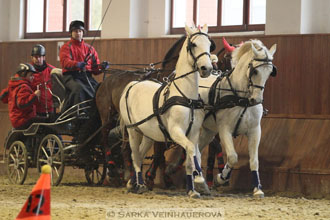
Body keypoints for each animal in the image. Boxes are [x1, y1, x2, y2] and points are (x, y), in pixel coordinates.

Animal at [120, 24, 213, 198]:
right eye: (194, 44)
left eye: (209, 44)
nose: (207, 68)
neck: (186, 97)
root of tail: (133, 84)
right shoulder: (176, 132)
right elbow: (191, 150)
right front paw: (198, 180)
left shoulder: (193, 133)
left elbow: (192, 155)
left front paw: (192, 189)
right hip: (133, 130)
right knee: (135, 155)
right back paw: (140, 185)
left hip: (148, 134)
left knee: (140, 154)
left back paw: (132, 182)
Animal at [197, 40, 278, 198]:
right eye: (255, 71)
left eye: (270, 72)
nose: (256, 100)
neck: (241, 98)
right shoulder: (224, 130)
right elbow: (233, 157)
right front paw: (220, 178)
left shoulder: (255, 131)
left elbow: (254, 160)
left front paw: (257, 189)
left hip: (208, 131)